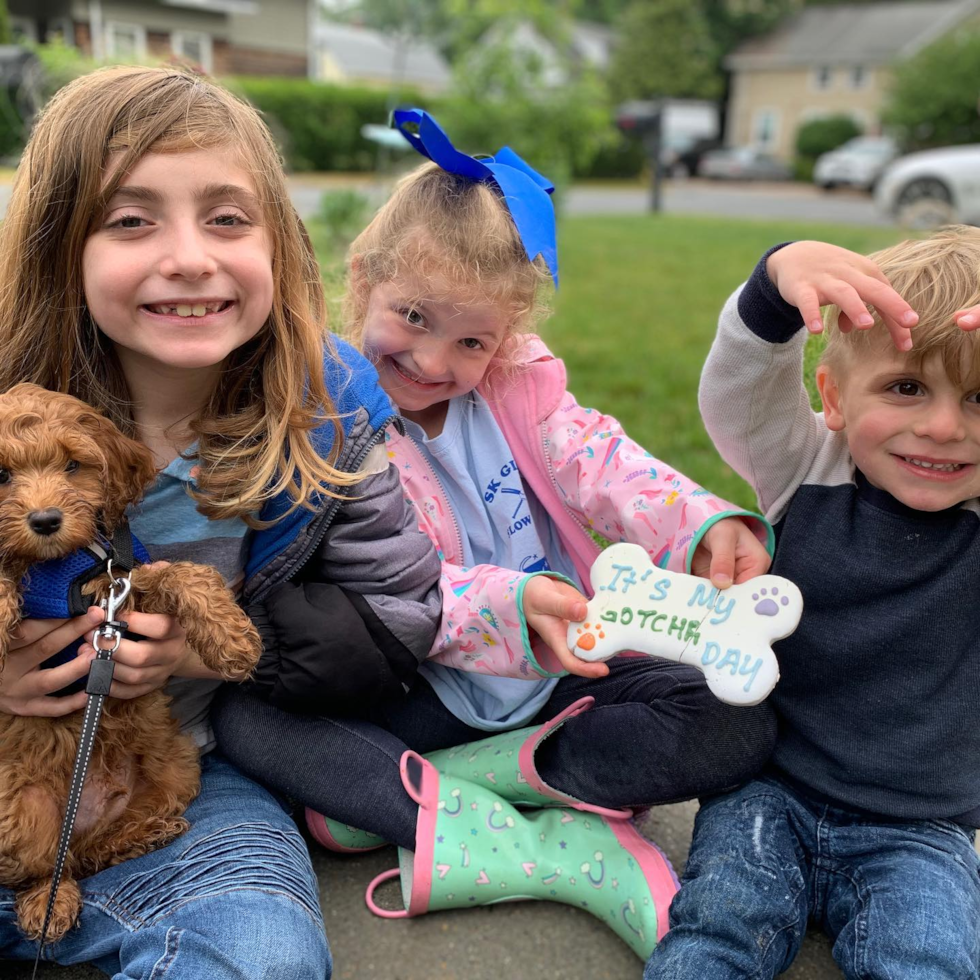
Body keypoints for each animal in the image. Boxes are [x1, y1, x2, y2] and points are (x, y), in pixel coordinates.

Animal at [0, 382, 260, 940]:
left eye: (73, 465)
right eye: (2, 475)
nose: (46, 521)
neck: (57, 563)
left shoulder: (121, 583)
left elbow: (185, 573)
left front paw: (231, 638)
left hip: (175, 767)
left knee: (87, 853)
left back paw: (144, 835)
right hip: (20, 809)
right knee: (48, 864)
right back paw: (48, 902)